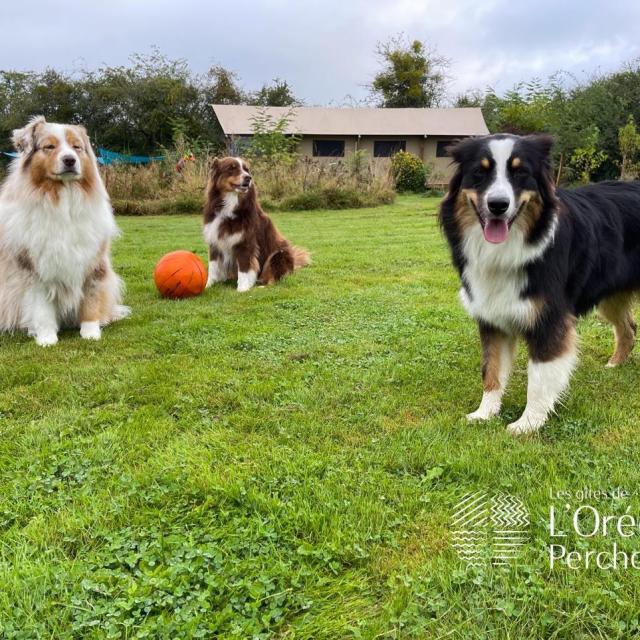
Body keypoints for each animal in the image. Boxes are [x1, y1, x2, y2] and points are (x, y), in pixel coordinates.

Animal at [0, 115, 129, 344]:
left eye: (76, 147)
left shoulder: (93, 263)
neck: (64, 198)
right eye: (49, 147)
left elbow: (90, 301)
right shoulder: (35, 268)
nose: (70, 160)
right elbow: (41, 307)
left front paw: (91, 333)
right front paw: (46, 337)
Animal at [201, 158, 308, 292]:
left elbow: (244, 269)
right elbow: (213, 268)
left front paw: (242, 289)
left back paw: (262, 286)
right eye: (232, 168)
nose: (248, 178)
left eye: (247, 169)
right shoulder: (215, 242)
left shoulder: (246, 243)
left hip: (278, 255)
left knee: (275, 278)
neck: (230, 204)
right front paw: (207, 286)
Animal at [442, 134, 640, 436]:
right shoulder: (492, 318)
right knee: (628, 327)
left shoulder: (550, 319)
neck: (512, 247)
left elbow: (539, 377)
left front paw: (528, 423)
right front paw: (484, 413)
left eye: (520, 172)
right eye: (479, 172)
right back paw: (615, 364)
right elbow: (491, 369)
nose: (498, 205)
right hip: (610, 297)